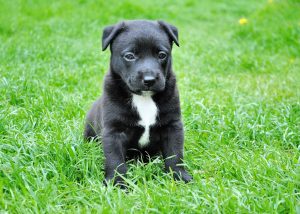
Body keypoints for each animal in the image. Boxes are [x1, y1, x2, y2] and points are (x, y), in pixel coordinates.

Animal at [84, 19, 192, 186]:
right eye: (129, 56)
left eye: (162, 55)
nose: (149, 80)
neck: (144, 97)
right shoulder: (113, 131)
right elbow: (115, 160)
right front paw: (118, 183)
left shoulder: (172, 126)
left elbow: (175, 154)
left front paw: (179, 176)